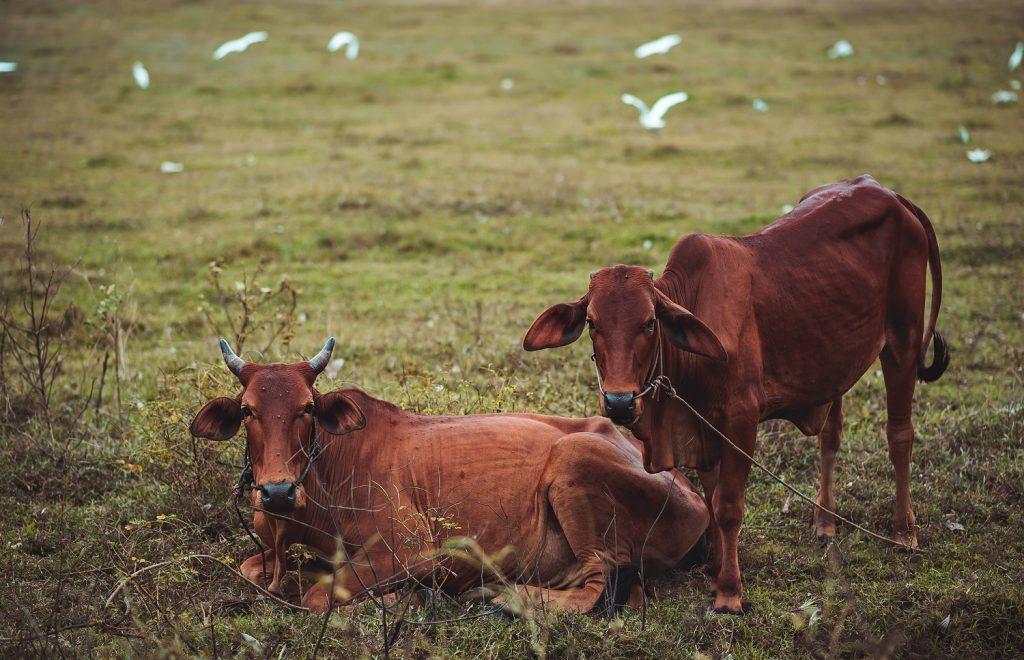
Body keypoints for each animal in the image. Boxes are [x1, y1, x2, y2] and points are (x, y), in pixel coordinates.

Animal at [188, 339, 708, 613]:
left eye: (307, 408)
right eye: (248, 410)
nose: (276, 492)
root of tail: (691, 492)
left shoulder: (411, 550)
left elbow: (318, 597)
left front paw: (401, 601)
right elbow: (253, 570)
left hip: (573, 462)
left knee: (599, 588)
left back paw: (506, 595)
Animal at [528, 174, 950, 613]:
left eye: (649, 323)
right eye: (592, 322)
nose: (619, 401)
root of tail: (888, 192)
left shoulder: (741, 420)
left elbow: (729, 507)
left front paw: (729, 591)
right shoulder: (701, 429)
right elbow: (713, 502)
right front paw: (715, 572)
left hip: (902, 342)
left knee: (900, 436)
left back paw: (904, 532)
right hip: (837, 359)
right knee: (830, 437)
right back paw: (825, 522)